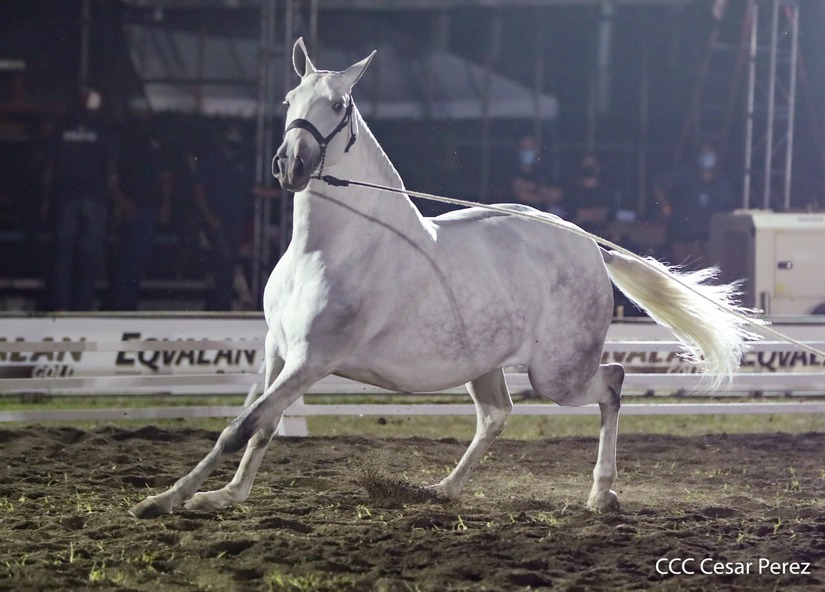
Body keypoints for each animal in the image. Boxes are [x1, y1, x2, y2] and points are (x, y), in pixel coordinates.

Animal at [129, 38, 756, 519]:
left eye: (337, 104)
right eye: (289, 100)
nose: (291, 167)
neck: (326, 250)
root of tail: (587, 244)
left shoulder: (313, 359)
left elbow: (243, 425)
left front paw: (164, 501)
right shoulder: (278, 352)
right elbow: (260, 425)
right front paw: (223, 497)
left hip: (557, 373)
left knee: (612, 383)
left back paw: (601, 495)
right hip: (485, 364)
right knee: (497, 416)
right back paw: (442, 490)